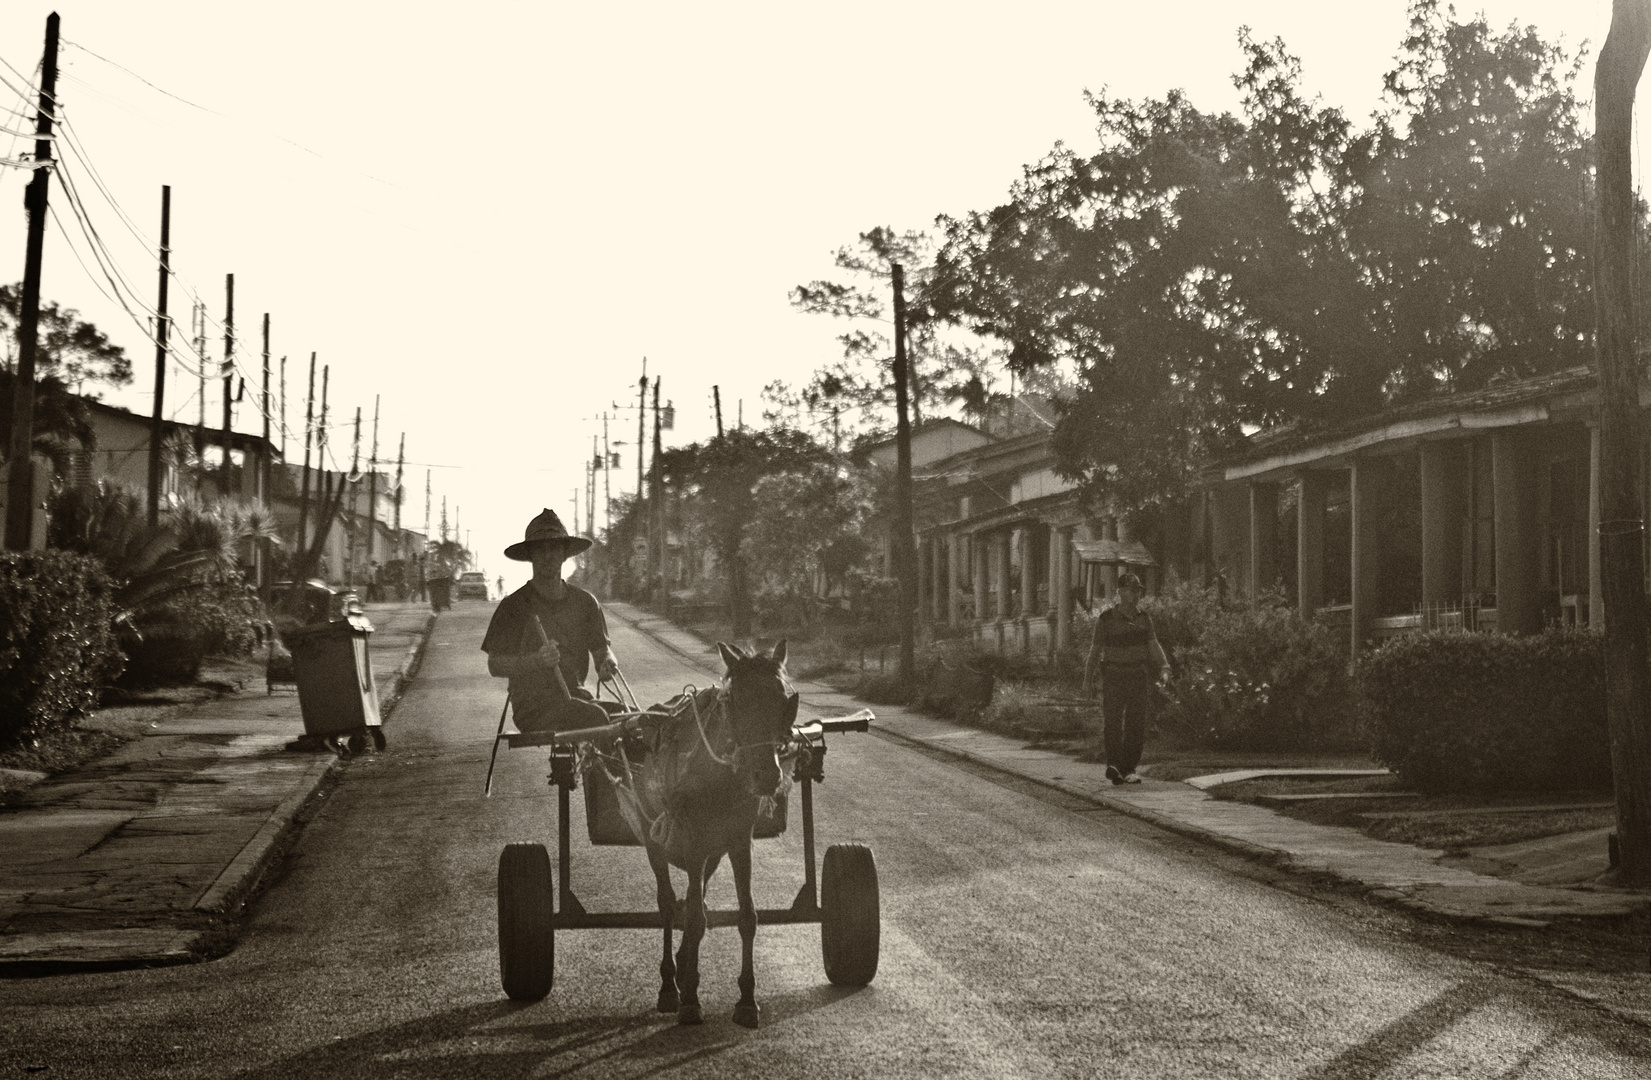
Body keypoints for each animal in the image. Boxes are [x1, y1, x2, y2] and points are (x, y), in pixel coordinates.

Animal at [630, 644, 799, 1030]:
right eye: (734, 700)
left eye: (784, 698)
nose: (767, 775)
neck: (719, 776)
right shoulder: (693, 841)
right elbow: (693, 917)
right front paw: (690, 1001)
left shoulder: (737, 840)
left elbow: (745, 916)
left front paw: (747, 1001)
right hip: (654, 840)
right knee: (669, 905)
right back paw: (670, 985)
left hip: (714, 854)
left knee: (699, 899)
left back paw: (682, 966)